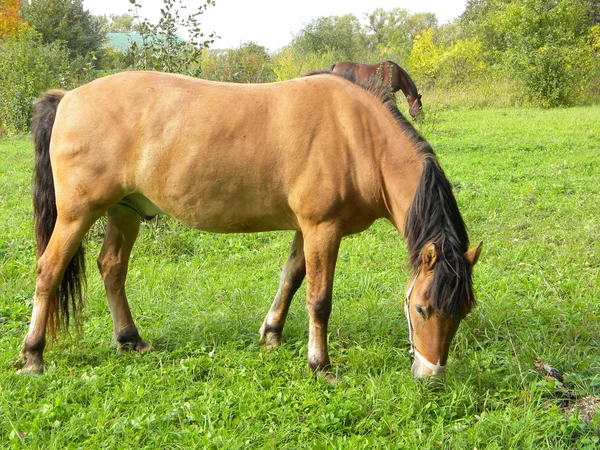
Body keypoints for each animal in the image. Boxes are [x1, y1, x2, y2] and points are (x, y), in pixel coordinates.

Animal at [23, 71, 482, 380]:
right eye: (421, 308)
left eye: (462, 311)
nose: (432, 377)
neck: (358, 135)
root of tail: (68, 97)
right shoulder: (322, 229)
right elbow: (319, 300)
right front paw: (320, 364)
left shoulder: (305, 229)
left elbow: (291, 278)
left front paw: (272, 333)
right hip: (78, 215)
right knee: (49, 271)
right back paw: (33, 355)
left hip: (124, 211)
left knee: (112, 267)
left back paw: (130, 339)